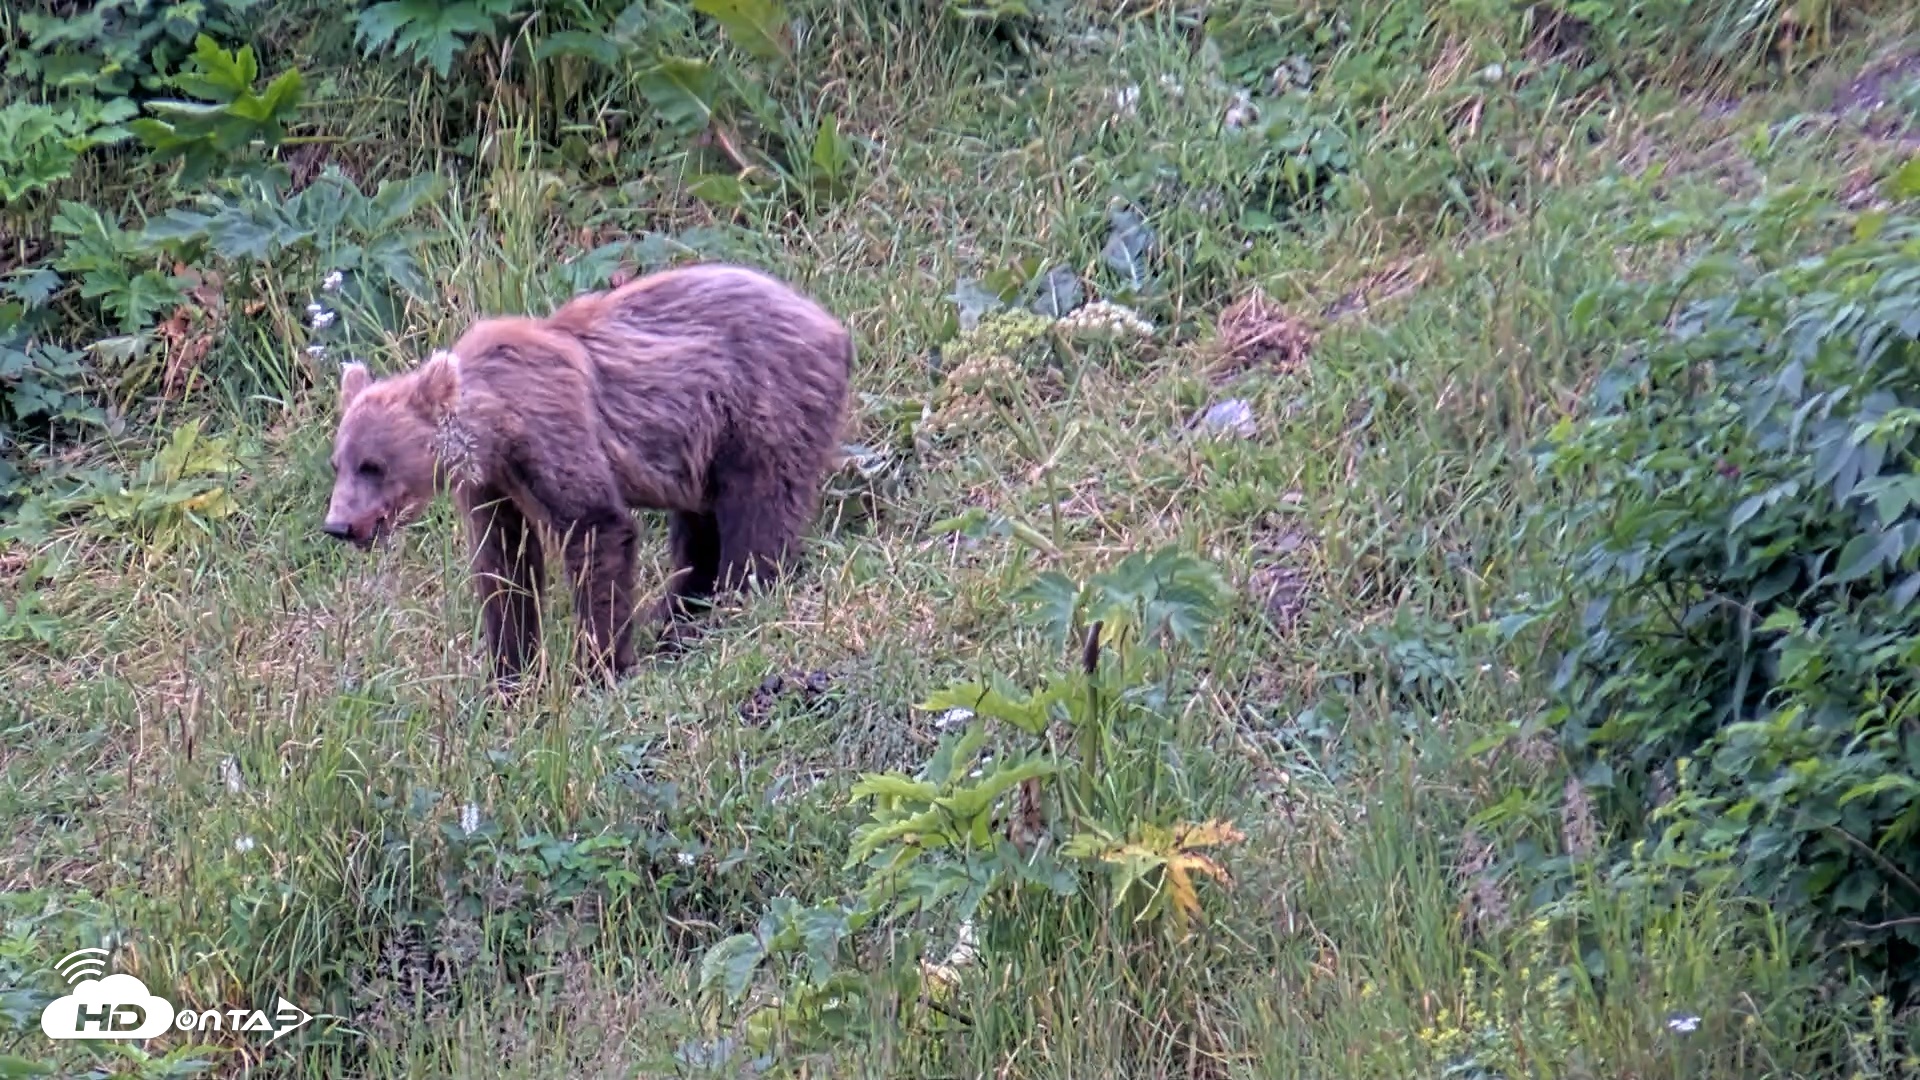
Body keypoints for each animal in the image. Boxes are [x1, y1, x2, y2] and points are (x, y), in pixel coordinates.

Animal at [320, 261, 854, 687]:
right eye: (338, 463)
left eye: (373, 465)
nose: (339, 526)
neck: (496, 426)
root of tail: (830, 323)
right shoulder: (492, 485)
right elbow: (503, 568)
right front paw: (508, 675)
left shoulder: (552, 434)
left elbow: (597, 529)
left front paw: (598, 667)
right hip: (698, 450)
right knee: (699, 531)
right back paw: (678, 616)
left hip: (759, 408)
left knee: (759, 510)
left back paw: (732, 602)